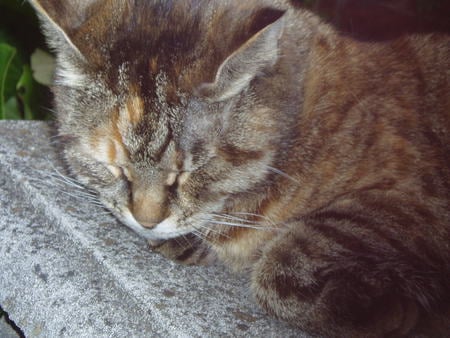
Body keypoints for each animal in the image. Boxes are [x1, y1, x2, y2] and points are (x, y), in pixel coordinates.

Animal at [31, 0, 450, 336]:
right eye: (114, 167)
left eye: (190, 170)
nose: (146, 222)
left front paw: (394, 312)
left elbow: (282, 266)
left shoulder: (407, 202)